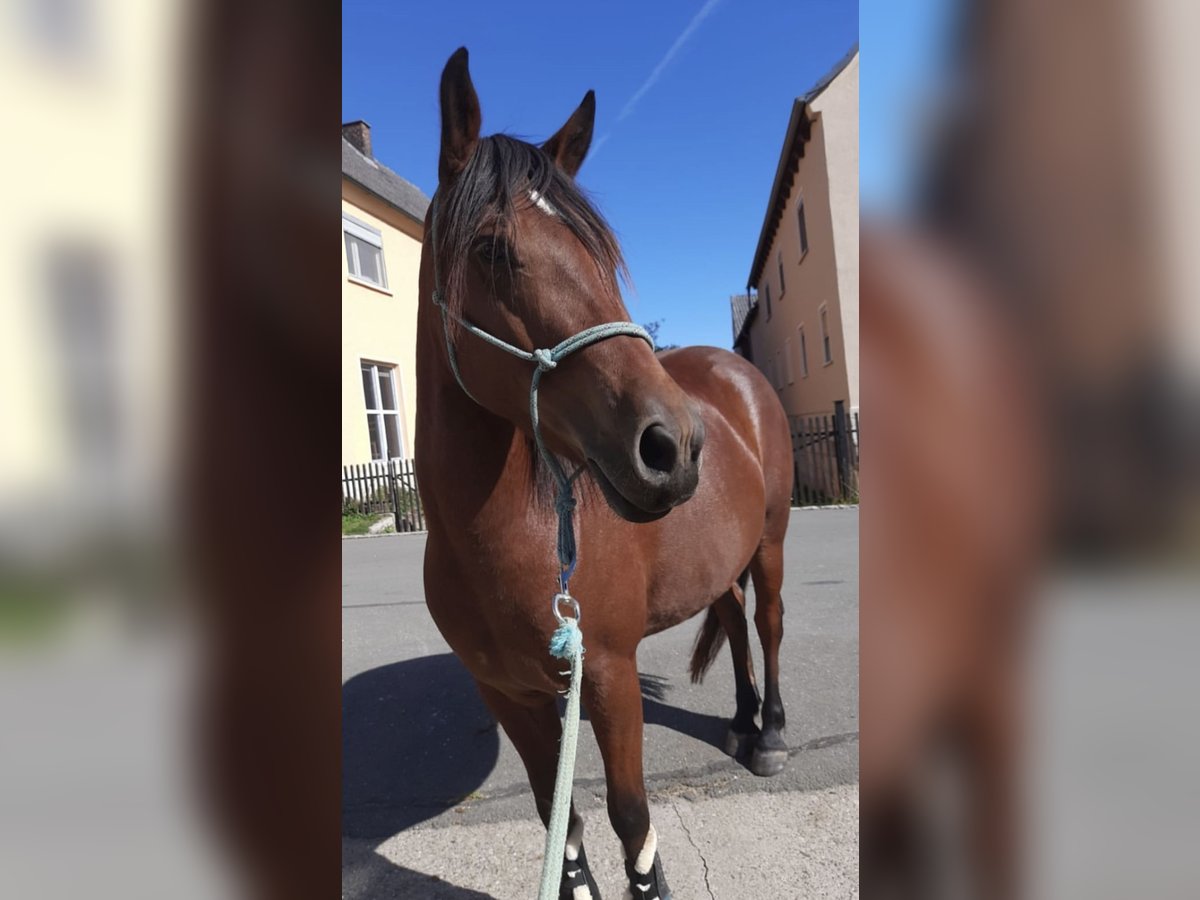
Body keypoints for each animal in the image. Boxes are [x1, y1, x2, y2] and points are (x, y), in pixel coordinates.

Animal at [415, 51, 796, 900]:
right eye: (491, 249)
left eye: (602, 254)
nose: (673, 447)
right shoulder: (510, 694)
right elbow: (563, 826)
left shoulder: (612, 680)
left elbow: (631, 822)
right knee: (733, 623)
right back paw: (743, 719)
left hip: (771, 544)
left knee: (768, 625)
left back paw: (772, 734)